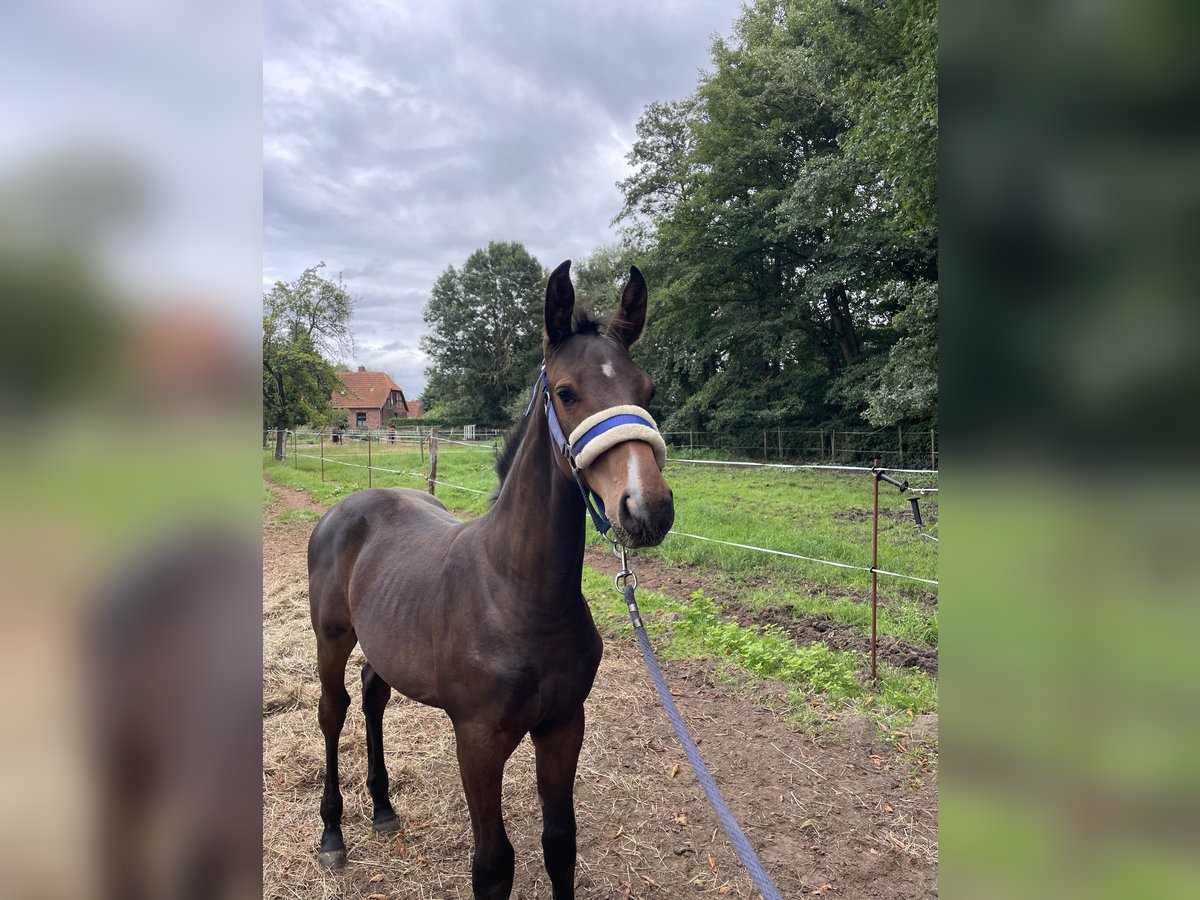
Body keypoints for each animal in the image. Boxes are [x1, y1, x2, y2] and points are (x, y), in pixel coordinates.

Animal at [306, 260, 675, 899]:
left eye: (647, 391)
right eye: (565, 391)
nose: (645, 508)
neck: (519, 597)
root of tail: (345, 509)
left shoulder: (563, 726)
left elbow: (561, 844)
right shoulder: (477, 742)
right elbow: (494, 865)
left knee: (375, 694)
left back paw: (383, 808)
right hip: (331, 639)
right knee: (335, 711)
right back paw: (333, 835)